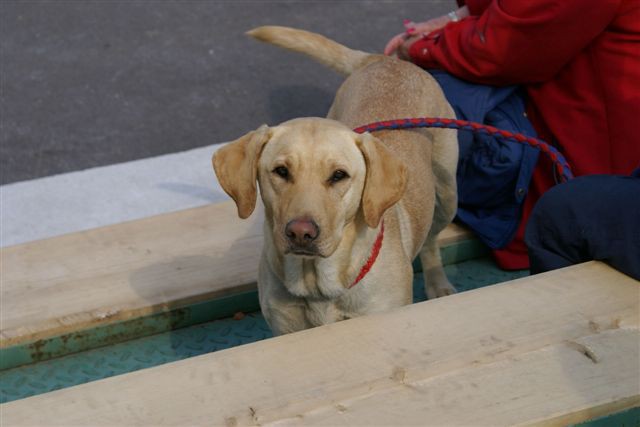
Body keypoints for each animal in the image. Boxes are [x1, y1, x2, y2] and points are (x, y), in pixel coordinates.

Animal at [212, 26, 458, 336]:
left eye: (339, 175)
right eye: (281, 171)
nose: (300, 233)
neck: (317, 286)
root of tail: (384, 60)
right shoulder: (284, 330)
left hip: (447, 195)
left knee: (431, 241)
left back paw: (438, 283)